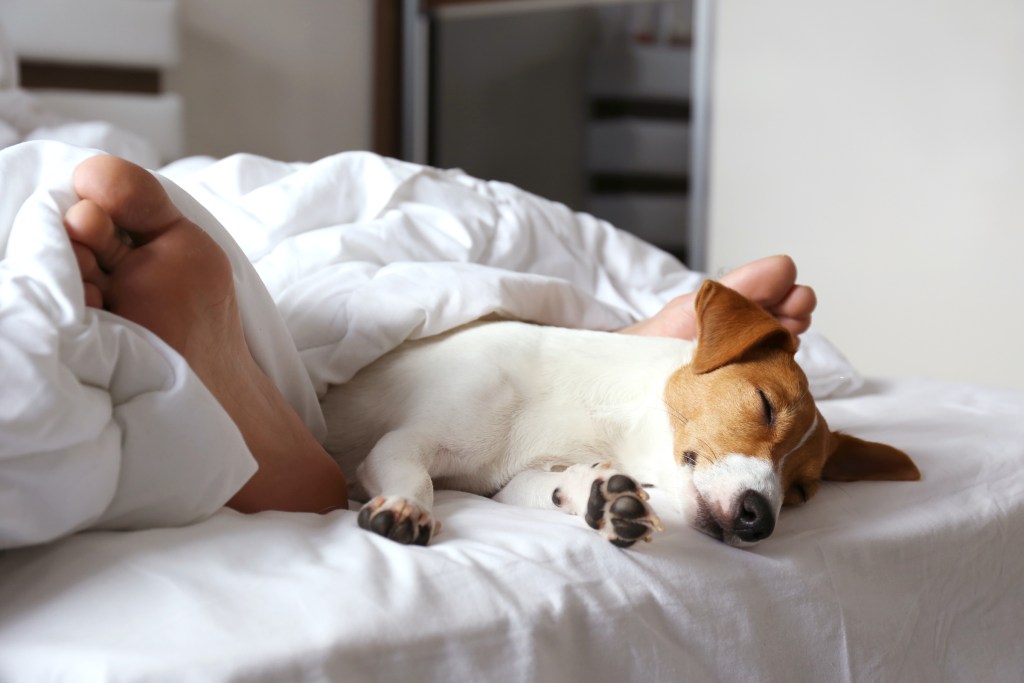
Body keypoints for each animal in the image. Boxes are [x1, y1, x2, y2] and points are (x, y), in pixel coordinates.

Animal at [321, 282, 921, 548]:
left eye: (801, 492)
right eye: (765, 405)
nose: (760, 520)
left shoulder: (513, 481)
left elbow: (552, 487)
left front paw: (603, 497)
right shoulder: (400, 445)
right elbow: (415, 476)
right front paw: (407, 507)